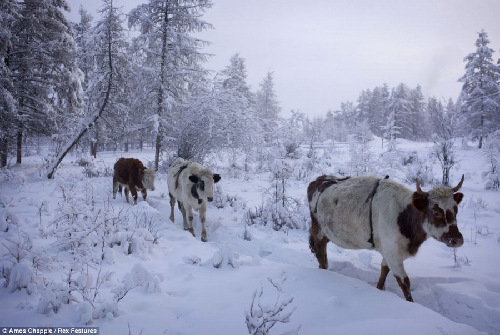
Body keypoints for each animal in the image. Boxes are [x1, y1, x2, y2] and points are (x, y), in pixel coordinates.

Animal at [308, 175, 464, 304]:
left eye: (456, 209)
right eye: (436, 212)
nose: (457, 239)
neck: (403, 217)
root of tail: (320, 179)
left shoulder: (389, 251)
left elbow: (384, 272)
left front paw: (379, 289)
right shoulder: (392, 253)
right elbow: (404, 282)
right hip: (319, 232)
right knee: (320, 253)